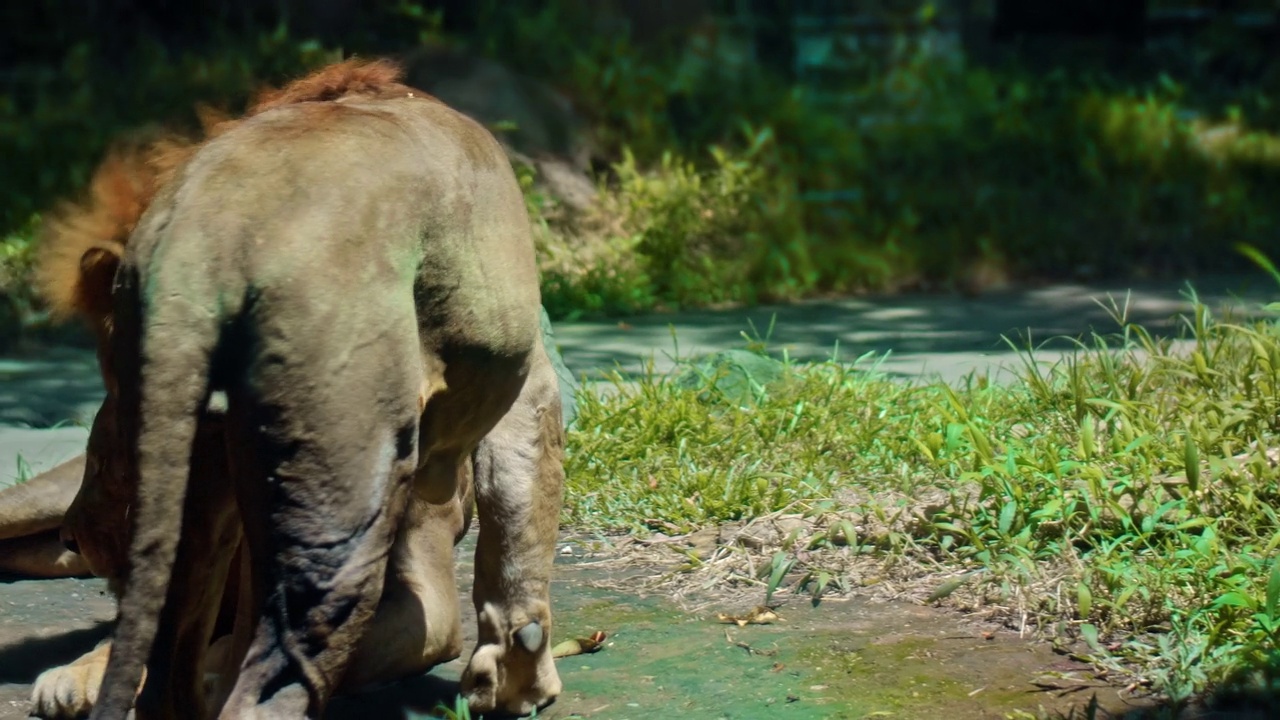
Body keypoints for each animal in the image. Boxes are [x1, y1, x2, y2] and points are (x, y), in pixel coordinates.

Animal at [22, 57, 565, 717]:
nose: (72, 536)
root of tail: (204, 236)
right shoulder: (530, 371)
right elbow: (521, 508)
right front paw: (518, 677)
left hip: (191, 488)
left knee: (174, 651)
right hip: (350, 487)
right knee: (274, 669)